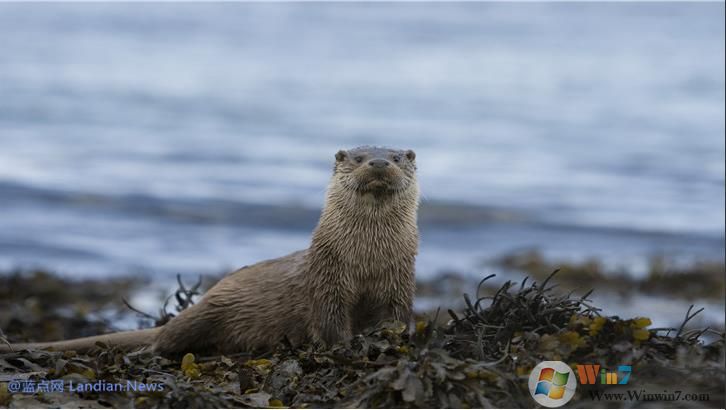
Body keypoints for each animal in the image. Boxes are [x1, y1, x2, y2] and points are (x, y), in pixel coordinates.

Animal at [1, 147, 420, 356]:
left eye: (398, 157)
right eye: (358, 157)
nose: (379, 162)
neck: (366, 260)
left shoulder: (400, 283)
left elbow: (395, 318)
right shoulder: (327, 281)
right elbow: (331, 323)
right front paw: (345, 348)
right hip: (211, 310)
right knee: (168, 338)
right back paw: (146, 352)